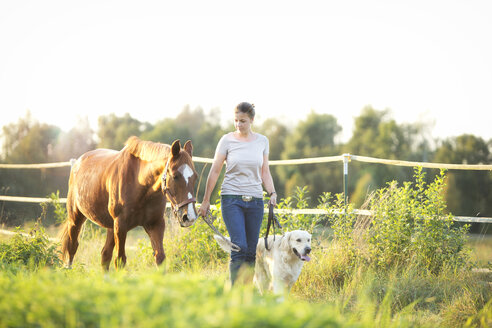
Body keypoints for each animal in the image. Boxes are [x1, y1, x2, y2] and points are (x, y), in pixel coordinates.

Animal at [61, 136, 198, 270]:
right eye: (175, 176)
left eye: (195, 177)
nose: (189, 216)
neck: (140, 183)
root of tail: (77, 163)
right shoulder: (121, 225)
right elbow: (120, 260)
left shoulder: (155, 224)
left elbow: (160, 258)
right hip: (76, 219)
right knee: (72, 248)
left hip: (111, 226)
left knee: (105, 255)